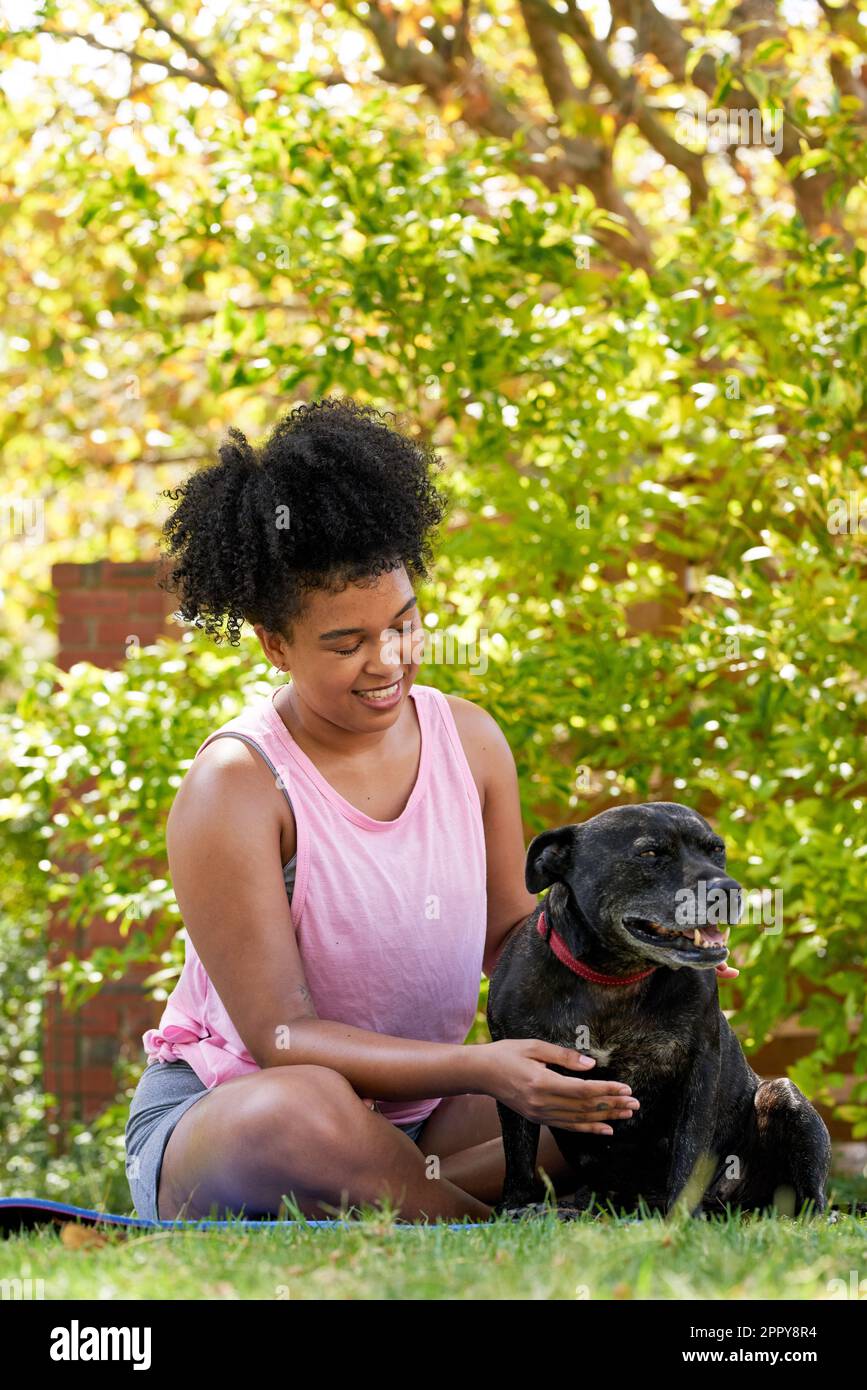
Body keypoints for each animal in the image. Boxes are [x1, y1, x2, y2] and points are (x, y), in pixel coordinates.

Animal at [489, 806, 833, 1217]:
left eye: (716, 850)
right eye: (650, 854)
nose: (728, 890)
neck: (615, 977)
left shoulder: (700, 1068)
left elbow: (689, 1150)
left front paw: (682, 1217)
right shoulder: (517, 1070)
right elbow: (518, 1151)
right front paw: (515, 1206)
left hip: (785, 1099)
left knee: (810, 1197)